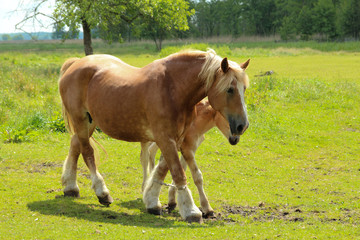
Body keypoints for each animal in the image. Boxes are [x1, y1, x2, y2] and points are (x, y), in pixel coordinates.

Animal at [59, 49, 250, 223]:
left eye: (244, 88)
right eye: (230, 89)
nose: (243, 126)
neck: (173, 89)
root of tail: (76, 63)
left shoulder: (176, 139)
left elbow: (162, 170)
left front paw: (152, 201)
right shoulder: (165, 138)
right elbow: (178, 173)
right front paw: (191, 210)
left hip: (89, 122)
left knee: (75, 145)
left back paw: (71, 187)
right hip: (81, 120)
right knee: (87, 152)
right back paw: (102, 192)